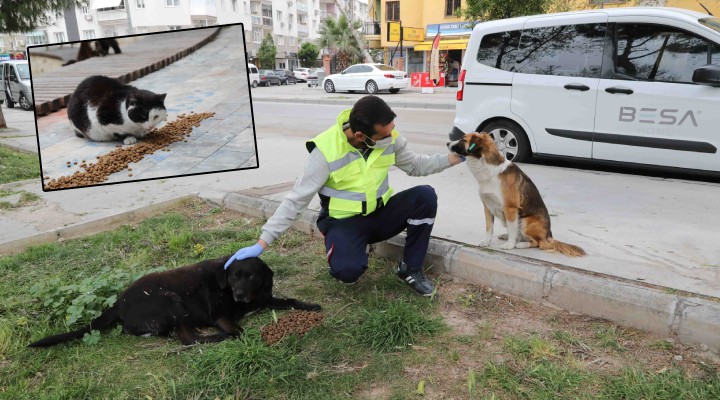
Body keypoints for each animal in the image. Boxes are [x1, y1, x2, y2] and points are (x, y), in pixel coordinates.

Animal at [28, 258, 320, 346]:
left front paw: (310, 306)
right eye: (234, 277)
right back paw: (216, 338)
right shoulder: (220, 317)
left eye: (251, 276)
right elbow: (239, 330)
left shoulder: (264, 300)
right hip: (171, 301)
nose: (238, 294)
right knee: (188, 339)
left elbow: (289, 300)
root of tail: (119, 303)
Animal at [450, 131, 584, 256]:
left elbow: (511, 229)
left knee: (540, 244)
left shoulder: (510, 208)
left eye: (463, 139)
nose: (447, 143)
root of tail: (549, 236)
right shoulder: (487, 206)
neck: (489, 170)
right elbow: (489, 227)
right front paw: (486, 242)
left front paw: (510, 245)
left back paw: (520, 244)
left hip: (526, 222)